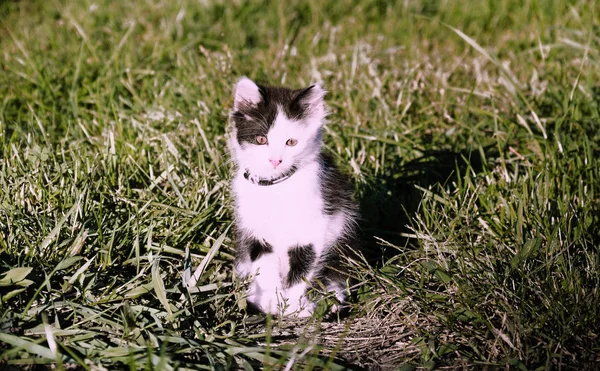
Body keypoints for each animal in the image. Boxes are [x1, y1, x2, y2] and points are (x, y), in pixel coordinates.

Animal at [226, 77, 356, 318]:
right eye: (261, 139)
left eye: (291, 142)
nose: (275, 160)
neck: (276, 188)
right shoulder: (255, 229)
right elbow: (263, 265)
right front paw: (269, 301)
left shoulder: (312, 229)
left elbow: (302, 267)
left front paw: (293, 305)